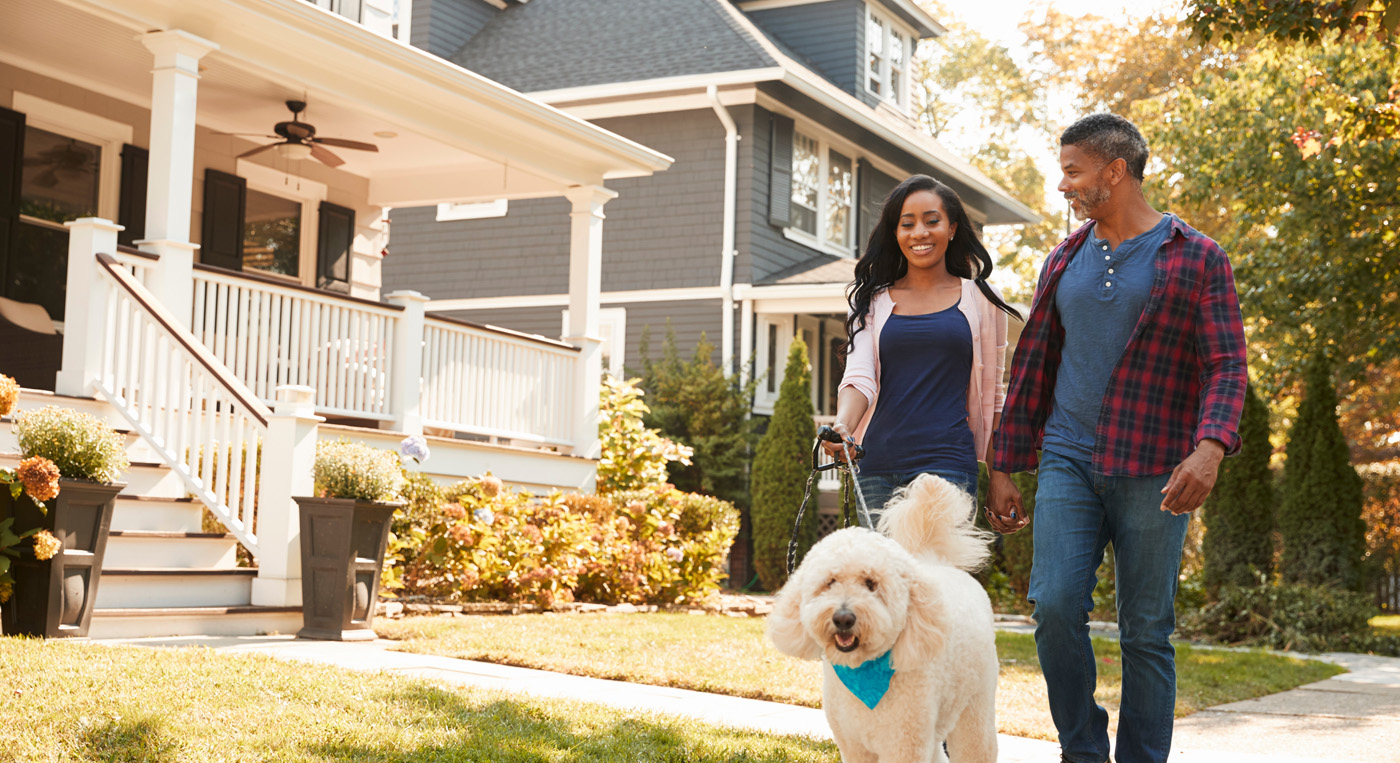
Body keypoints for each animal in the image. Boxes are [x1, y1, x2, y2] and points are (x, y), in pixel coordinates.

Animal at [767, 473, 1008, 756]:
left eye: (871, 584)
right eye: (830, 582)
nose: (843, 618)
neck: (863, 671)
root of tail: (937, 562)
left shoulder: (905, 742)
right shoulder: (853, 746)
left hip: (974, 710)